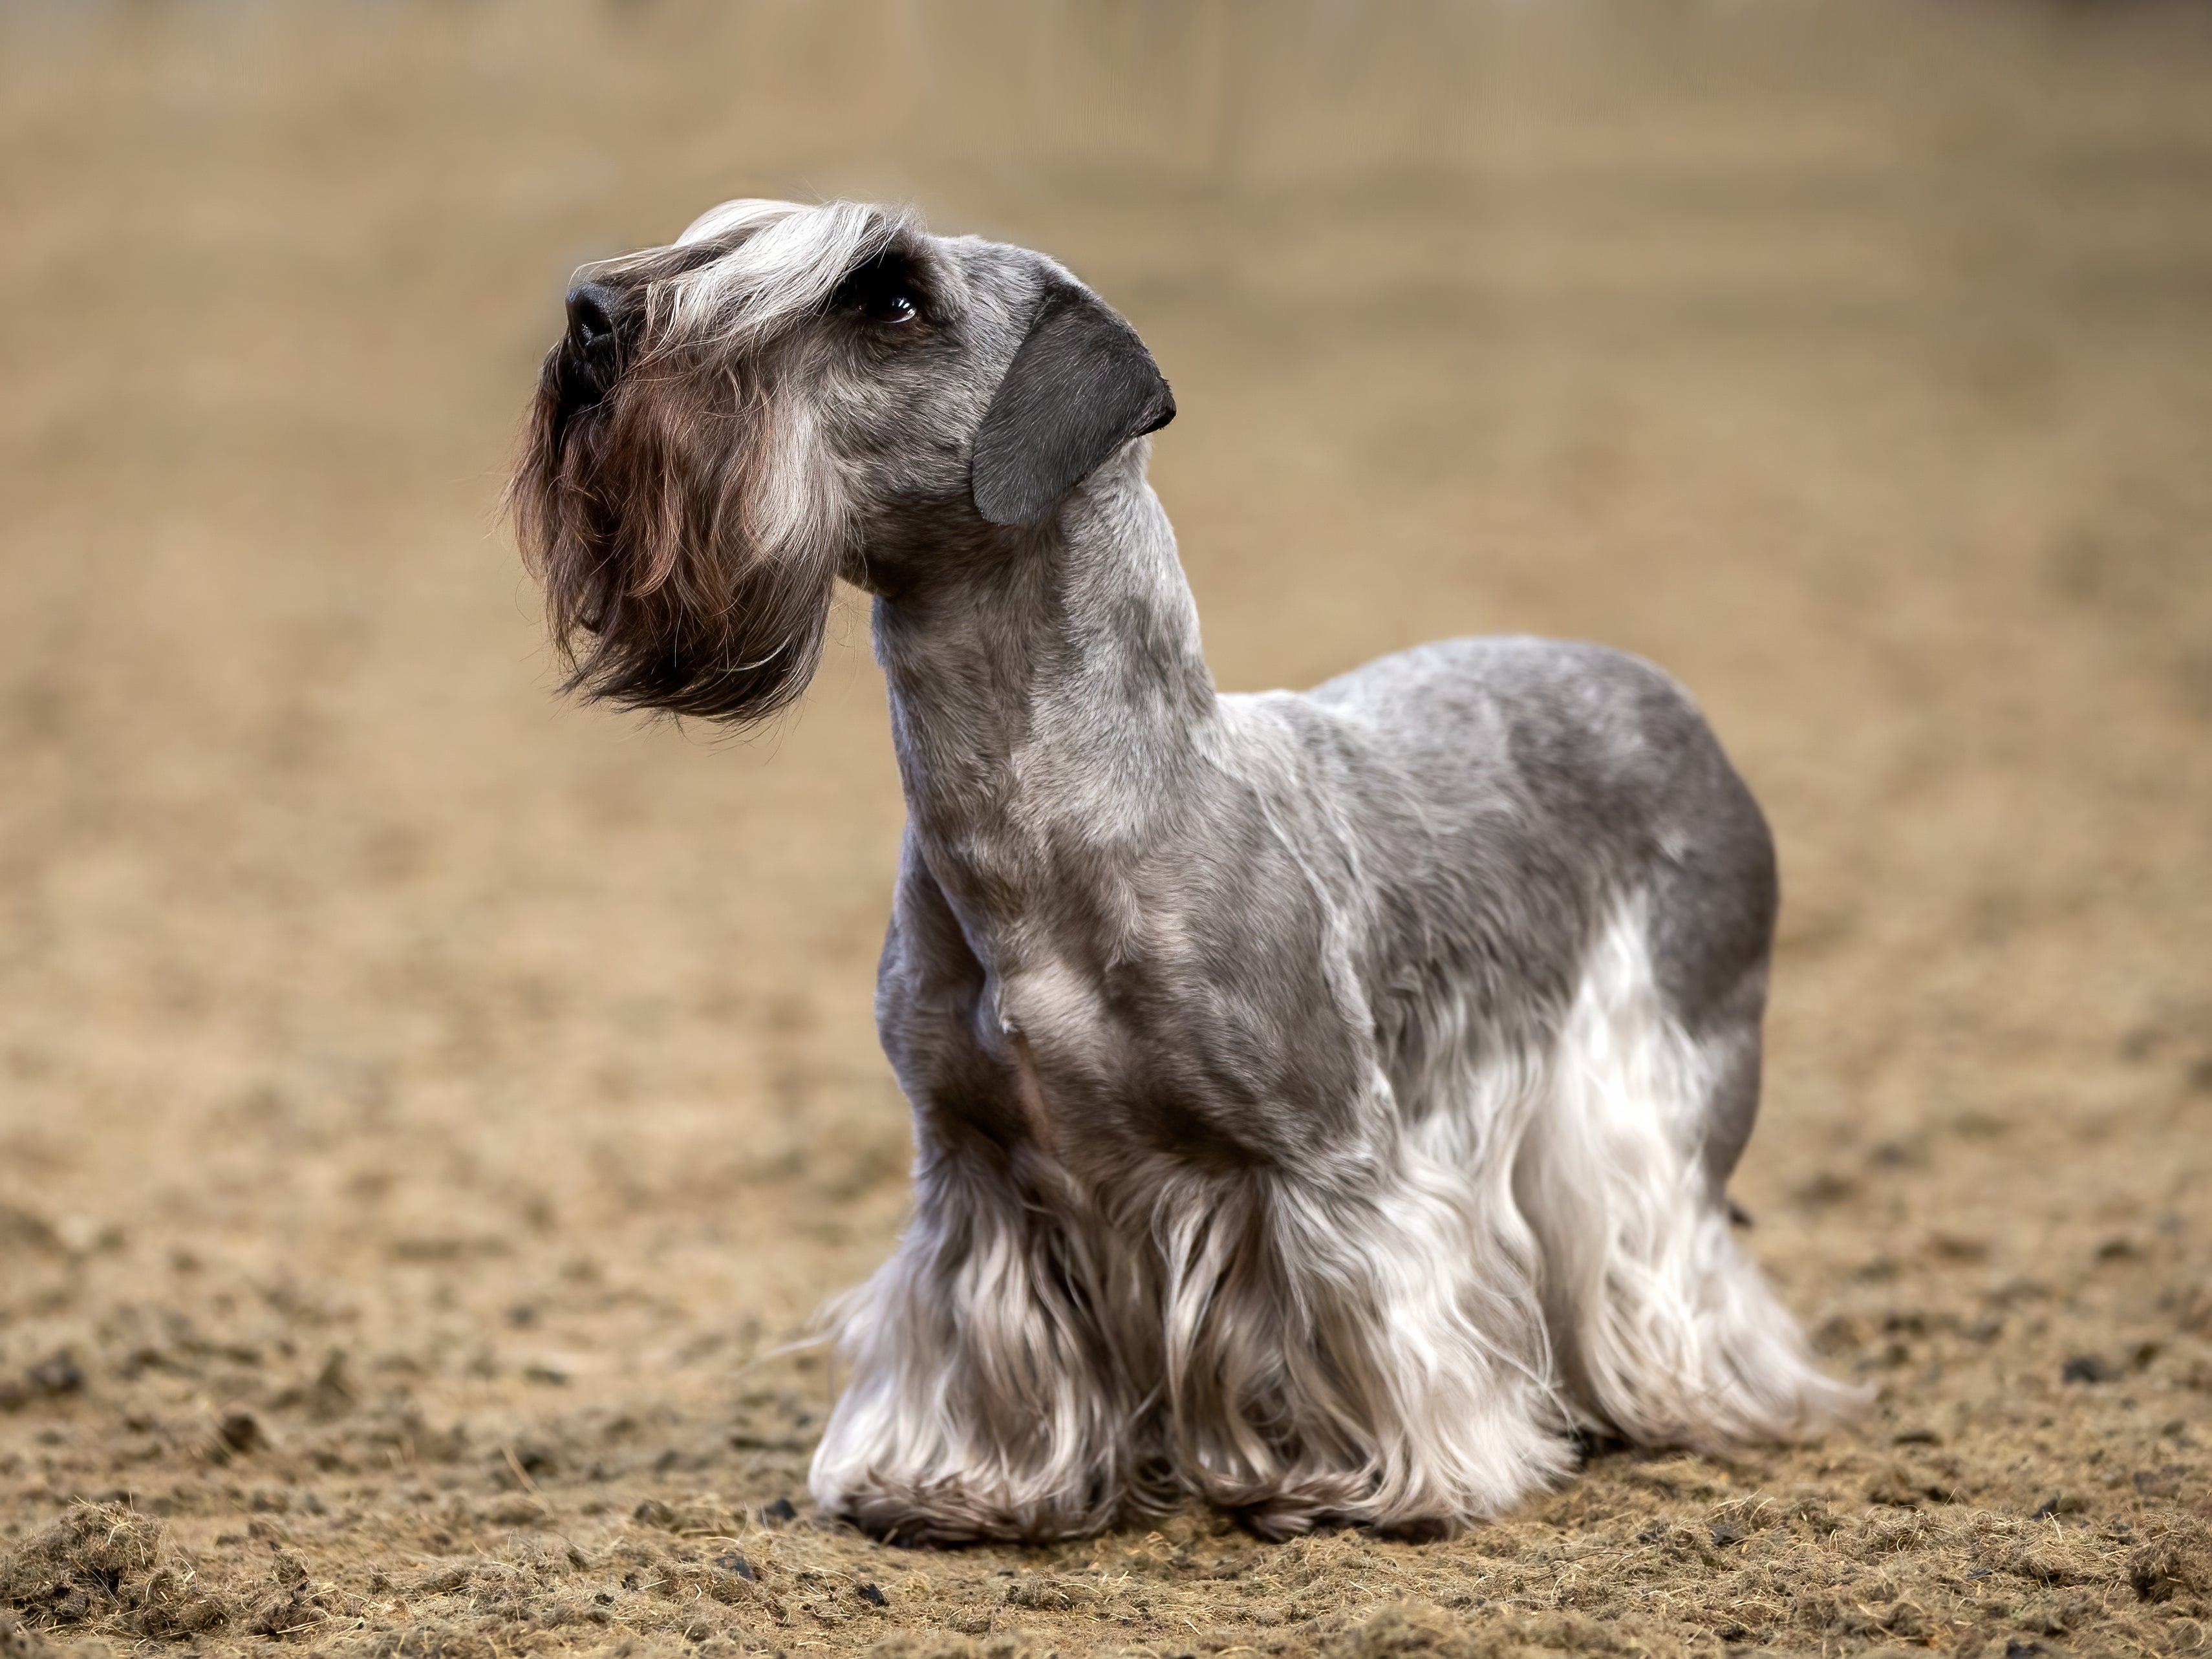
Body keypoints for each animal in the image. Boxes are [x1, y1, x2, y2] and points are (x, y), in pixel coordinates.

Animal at [508, 198, 1858, 1548]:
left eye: (889, 299)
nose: (592, 314)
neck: (1048, 828)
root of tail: (1671, 702)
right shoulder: (973, 1167)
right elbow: (970, 1336)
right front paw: (956, 1485)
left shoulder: (1324, 1160)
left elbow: (1368, 1319)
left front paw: (1361, 1481)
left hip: (1654, 1087)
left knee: (1671, 1256)